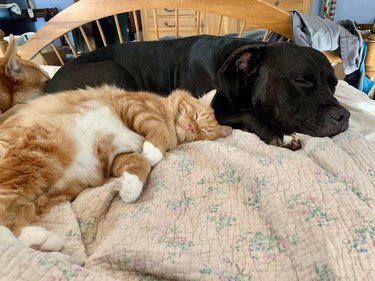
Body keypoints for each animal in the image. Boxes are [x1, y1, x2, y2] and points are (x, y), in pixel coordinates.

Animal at [0, 85, 232, 252]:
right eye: (196, 116)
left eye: (203, 133)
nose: (192, 127)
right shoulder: (135, 107)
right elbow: (157, 130)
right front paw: (155, 150)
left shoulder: (117, 158)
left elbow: (140, 162)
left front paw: (130, 189)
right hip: (33, 159)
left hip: (47, 189)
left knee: (12, 222)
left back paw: (43, 240)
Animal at [46, 34, 350, 149]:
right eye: (302, 80)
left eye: (334, 84)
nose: (343, 115)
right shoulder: (210, 109)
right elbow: (248, 111)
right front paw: (279, 132)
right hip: (114, 70)